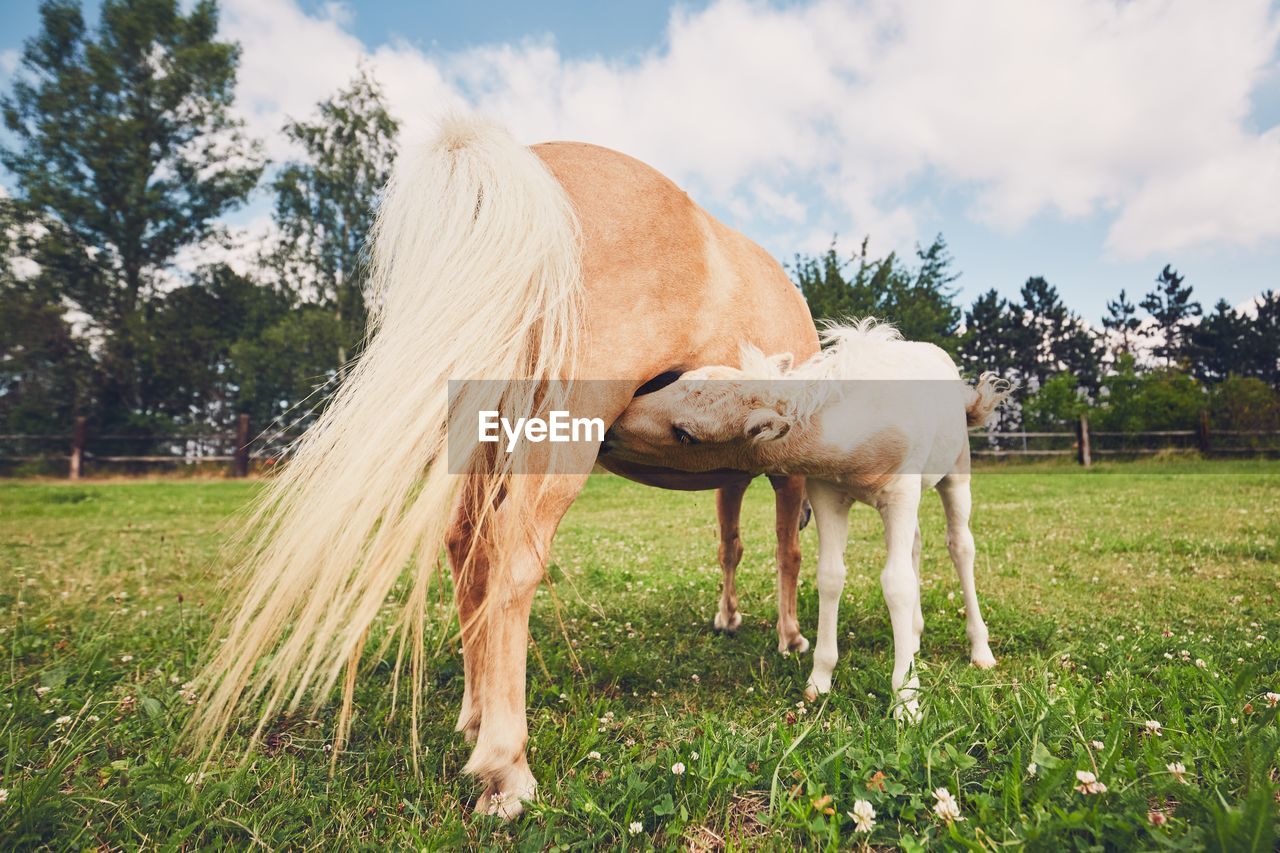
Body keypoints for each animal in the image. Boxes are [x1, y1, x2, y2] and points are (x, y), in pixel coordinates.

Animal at [604, 318, 1013, 717]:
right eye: (679, 379)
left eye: (686, 435)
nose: (610, 428)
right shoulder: (827, 492)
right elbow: (830, 577)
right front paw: (819, 679)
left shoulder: (900, 492)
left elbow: (896, 584)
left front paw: (906, 700)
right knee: (914, 545)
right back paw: (913, 636)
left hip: (956, 472)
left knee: (959, 547)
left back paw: (980, 651)